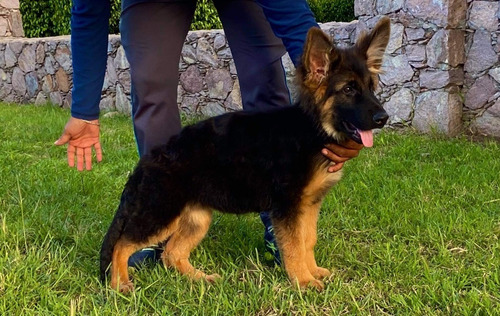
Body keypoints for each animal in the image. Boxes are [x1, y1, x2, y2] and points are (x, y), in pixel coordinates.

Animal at [100, 17, 390, 292]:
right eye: (349, 89)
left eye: (371, 87)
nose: (383, 118)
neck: (313, 128)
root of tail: (148, 160)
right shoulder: (288, 206)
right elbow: (295, 245)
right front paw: (303, 281)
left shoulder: (308, 205)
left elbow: (308, 240)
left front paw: (313, 272)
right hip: (162, 212)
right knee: (122, 245)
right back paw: (119, 286)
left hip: (196, 217)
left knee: (171, 253)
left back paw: (200, 279)